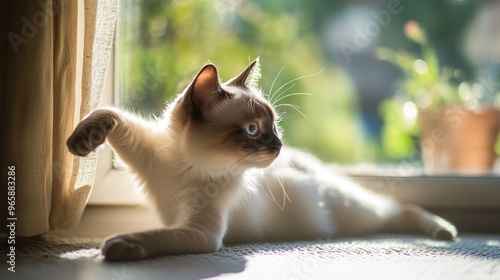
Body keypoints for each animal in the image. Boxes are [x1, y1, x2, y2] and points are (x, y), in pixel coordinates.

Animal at [68, 58, 458, 262]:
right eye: (253, 130)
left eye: (273, 126)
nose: (280, 145)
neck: (187, 166)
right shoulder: (148, 159)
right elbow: (110, 113)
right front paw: (80, 142)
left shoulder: (201, 233)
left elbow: (156, 237)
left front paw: (119, 245)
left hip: (355, 212)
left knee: (397, 207)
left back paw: (444, 230)